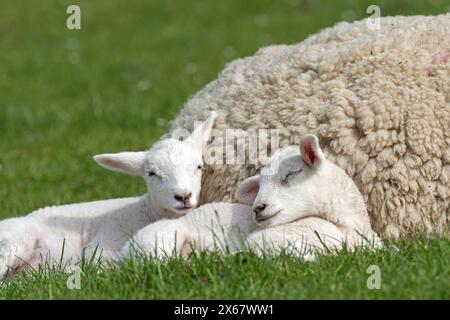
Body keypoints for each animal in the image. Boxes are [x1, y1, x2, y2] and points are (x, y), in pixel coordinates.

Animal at [0, 112, 218, 278]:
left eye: (199, 167)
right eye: (151, 173)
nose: (183, 196)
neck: (145, 212)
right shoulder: (103, 244)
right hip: (15, 241)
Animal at [119, 133, 380, 260]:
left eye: (291, 174)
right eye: (260, 182)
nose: (258, 208)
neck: (349, 228)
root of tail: (124, 254)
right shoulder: (266, 239)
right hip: (160, 240)